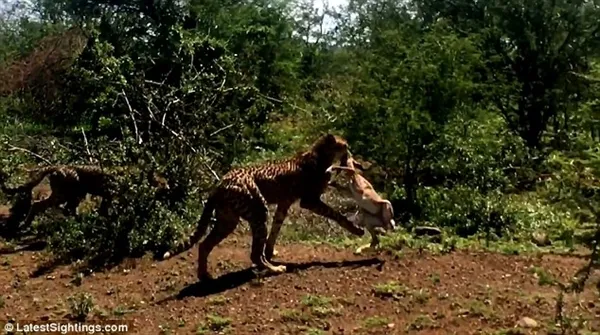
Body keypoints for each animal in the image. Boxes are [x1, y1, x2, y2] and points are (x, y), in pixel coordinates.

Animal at [162, 133, 364, 280]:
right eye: (344, 145)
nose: (350, 152)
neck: (320, 155)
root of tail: (221, 182)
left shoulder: (284, 203)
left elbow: (275, 228)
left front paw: (270, 250)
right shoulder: (309, 201)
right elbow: (336, 214)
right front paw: (356, 229)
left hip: (228, 220)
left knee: (204, 244)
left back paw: (204, 276)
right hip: (258, 210)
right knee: (253, 254)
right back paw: (274, 269)